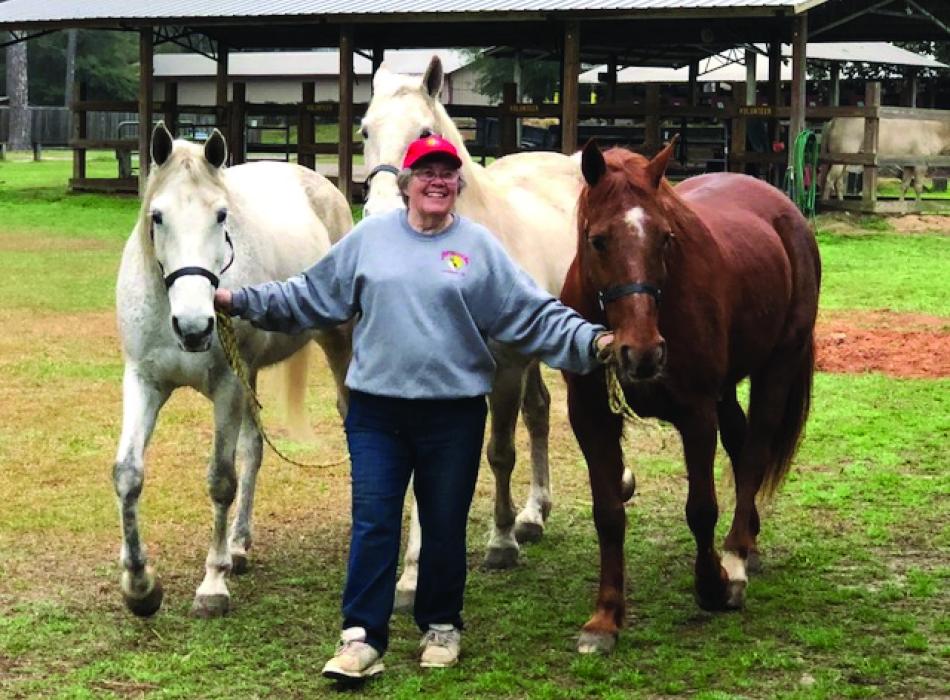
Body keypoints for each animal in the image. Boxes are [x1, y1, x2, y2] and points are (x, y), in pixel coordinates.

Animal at [115, 123, 354, 616]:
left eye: (221, 215)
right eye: (157, 216)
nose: (194, 327)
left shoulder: (227, 387)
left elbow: (221, 480)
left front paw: (212, 583)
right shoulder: (145, 381)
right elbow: (128, 475)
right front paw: (140, 586)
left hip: (335, 341)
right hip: (252, 376)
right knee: (254, 450)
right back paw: (239, 545)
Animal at [360, 56, 636, 608]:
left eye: (423, 134)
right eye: (365, 131)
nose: (379, 213)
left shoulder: (505, 369)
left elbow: (500, 452)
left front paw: (501, 542)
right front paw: (412, 574)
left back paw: (614, 482)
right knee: (540, 413)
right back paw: (535, 512)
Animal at [560, 139, 820, 652]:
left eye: (665, 238)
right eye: (598, 240)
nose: (642, 353)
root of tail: (786, 210)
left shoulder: (696, 412)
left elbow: (701, 509)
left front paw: (714, 585)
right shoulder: (590, 416)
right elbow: (609, 515)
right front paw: (605, 618)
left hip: (776, 367)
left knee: (755, 451)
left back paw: (736, 554)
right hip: (727, 390)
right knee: (741, 444)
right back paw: (749, 542)